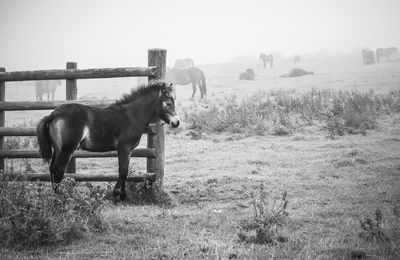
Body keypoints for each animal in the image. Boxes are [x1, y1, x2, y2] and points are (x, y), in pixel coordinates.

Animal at [36, 82, 180, 200]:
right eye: (168, 103)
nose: (177, 122)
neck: (131, 115)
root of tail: (54, 113)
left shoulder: (127, 150)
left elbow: (124, 170)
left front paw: (123, 196)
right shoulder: (124, 148)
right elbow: (123, 171)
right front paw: (116, 194)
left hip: (58, 149)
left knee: (52, 168)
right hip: (67, 150)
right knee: (59, 169)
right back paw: (60, 197)